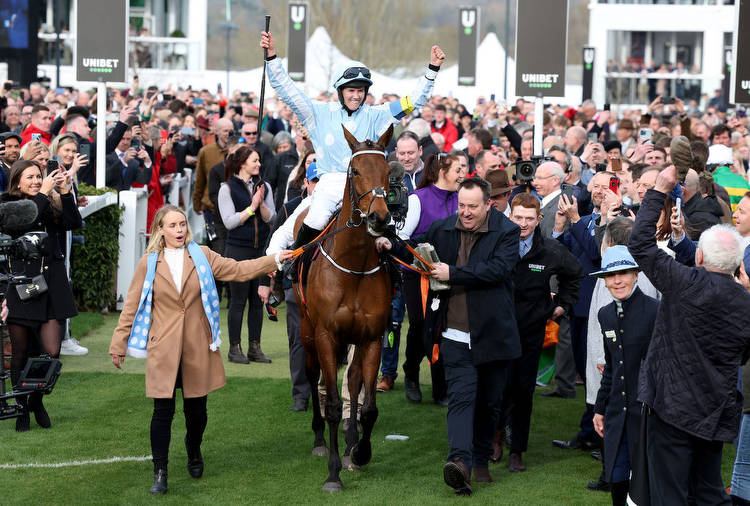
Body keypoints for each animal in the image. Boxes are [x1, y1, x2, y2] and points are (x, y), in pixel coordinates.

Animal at [294, 124, 396, 492]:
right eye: (356, 171)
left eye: (388, 171)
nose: (379, 218)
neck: (353, 266)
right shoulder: (326, 335)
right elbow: (334, 406)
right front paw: (334, 473)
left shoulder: (372, 337)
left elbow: (367, 407)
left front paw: (361, 451)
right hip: (307, 332)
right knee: (313, 378)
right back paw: (319, 440)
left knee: (351, 381)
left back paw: (352, 443)